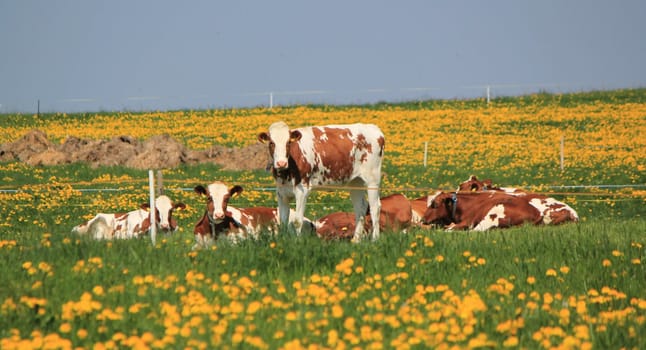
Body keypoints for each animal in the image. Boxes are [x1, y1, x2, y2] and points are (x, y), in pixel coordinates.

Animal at [258, 120, 388, 241]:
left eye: (288, 142)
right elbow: (283, 220)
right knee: (360, 208)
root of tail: (373, 128)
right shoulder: (281, 193)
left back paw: (375, 239)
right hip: (356, 182)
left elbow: (298, 221)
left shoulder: (302, 190)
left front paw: (297, 241)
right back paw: (356, 240)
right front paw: (284, 240)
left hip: (373, 179)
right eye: (271, 143)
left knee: (375, 207)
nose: (281, 163)